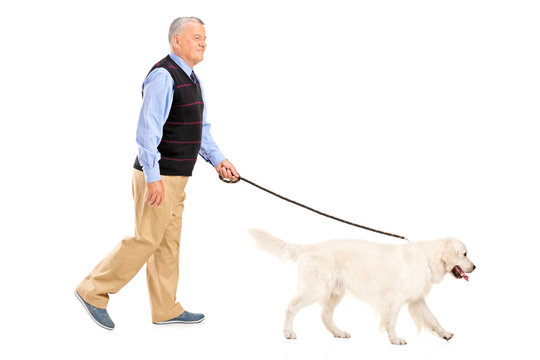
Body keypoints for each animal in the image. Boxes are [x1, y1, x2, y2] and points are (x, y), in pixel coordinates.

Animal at [247, 229, 474, 344]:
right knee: (291, 307)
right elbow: (392, 322)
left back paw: (338, 333)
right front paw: (395, 339)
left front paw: (445, 334)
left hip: (334, 292)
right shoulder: (396, 299)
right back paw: (288, 333)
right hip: (315, 289)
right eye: (464, 254)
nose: (475, 267)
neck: (427, 257)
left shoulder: (417, 299)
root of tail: (309, 248)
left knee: (325, 315)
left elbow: (433, 319)